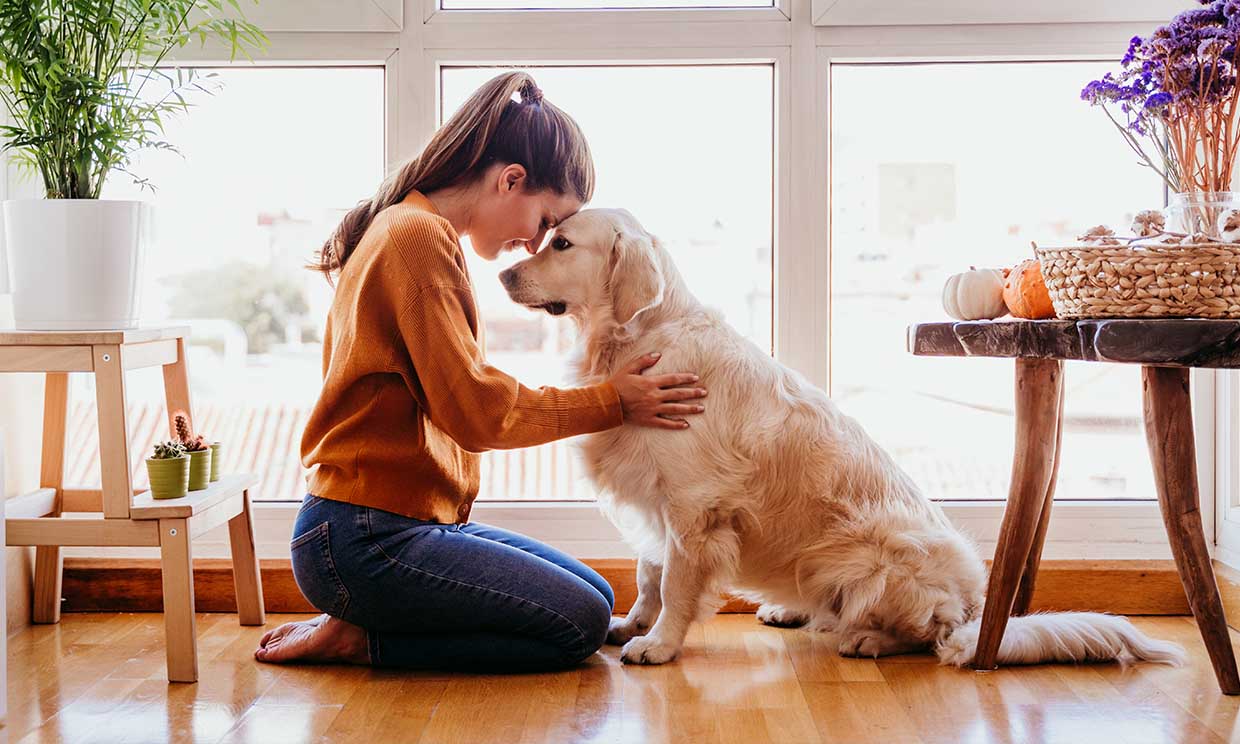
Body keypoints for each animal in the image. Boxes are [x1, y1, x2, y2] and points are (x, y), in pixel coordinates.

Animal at [498, 209, 1185, 669]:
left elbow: (675, 584)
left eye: (561, 243)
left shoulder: (694, 507)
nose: (502, 274)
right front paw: (631, 624)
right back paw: (792, 609)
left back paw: (866, 638)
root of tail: (975, 608)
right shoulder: (654, 497)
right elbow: (647, 571)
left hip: (868, 555)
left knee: (927, 635)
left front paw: (658, 644)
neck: (638, 338)